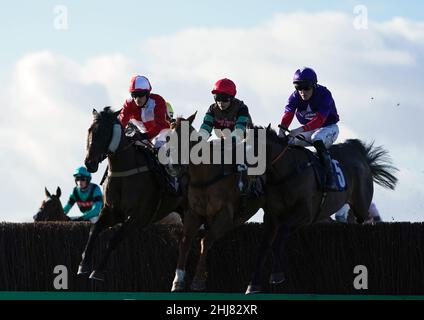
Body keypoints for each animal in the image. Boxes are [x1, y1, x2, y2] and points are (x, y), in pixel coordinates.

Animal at [79, 107, 186, 280]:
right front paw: (84, 265)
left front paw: (98, 271)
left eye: (104, 132)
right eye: (90, 130)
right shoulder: (111, 211)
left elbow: (114, 240)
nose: (89, 163)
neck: (124, 171)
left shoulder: (136, 217)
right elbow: (93, 231)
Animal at [170, 114, 264, 292]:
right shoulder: (193, 213)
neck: (205, 176)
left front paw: (198, 280)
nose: (173, 166)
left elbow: (206, 241)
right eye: (168, 137)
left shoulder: (225, 214)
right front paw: (177, 280)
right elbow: (185, 242)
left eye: (186, 138)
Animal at [245, 126, 398, 294]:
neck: (287, 172)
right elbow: (264, 247)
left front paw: (276, 275)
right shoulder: (272, 217)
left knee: (364, 221)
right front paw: (252, 285)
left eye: (253, 151)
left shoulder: (304, 214)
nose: (249, 185)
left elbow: (279, 239)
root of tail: (358, 153)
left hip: (361, 206)